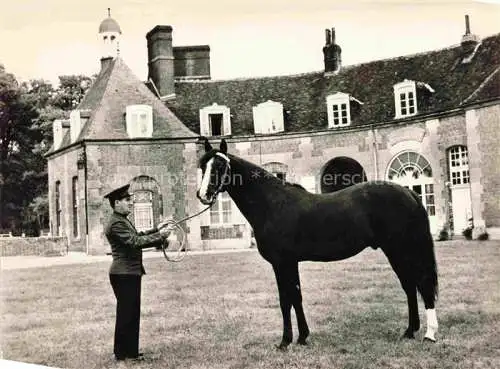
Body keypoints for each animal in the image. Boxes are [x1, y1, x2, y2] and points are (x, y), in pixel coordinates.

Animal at [197, 137, 440, 348]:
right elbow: (296, 297)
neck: (272, 204)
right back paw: (409, 331)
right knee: (410, 286)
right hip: (397, 252)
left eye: (220, 165)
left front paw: (285, 341)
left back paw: (429, 334)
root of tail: (408, 192)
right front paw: (302, 337)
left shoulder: (281, 263)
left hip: (402, 250)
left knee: (421, 284)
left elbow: (285, 300)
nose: (203, 195)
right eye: (202, 166)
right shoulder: (290, 263)